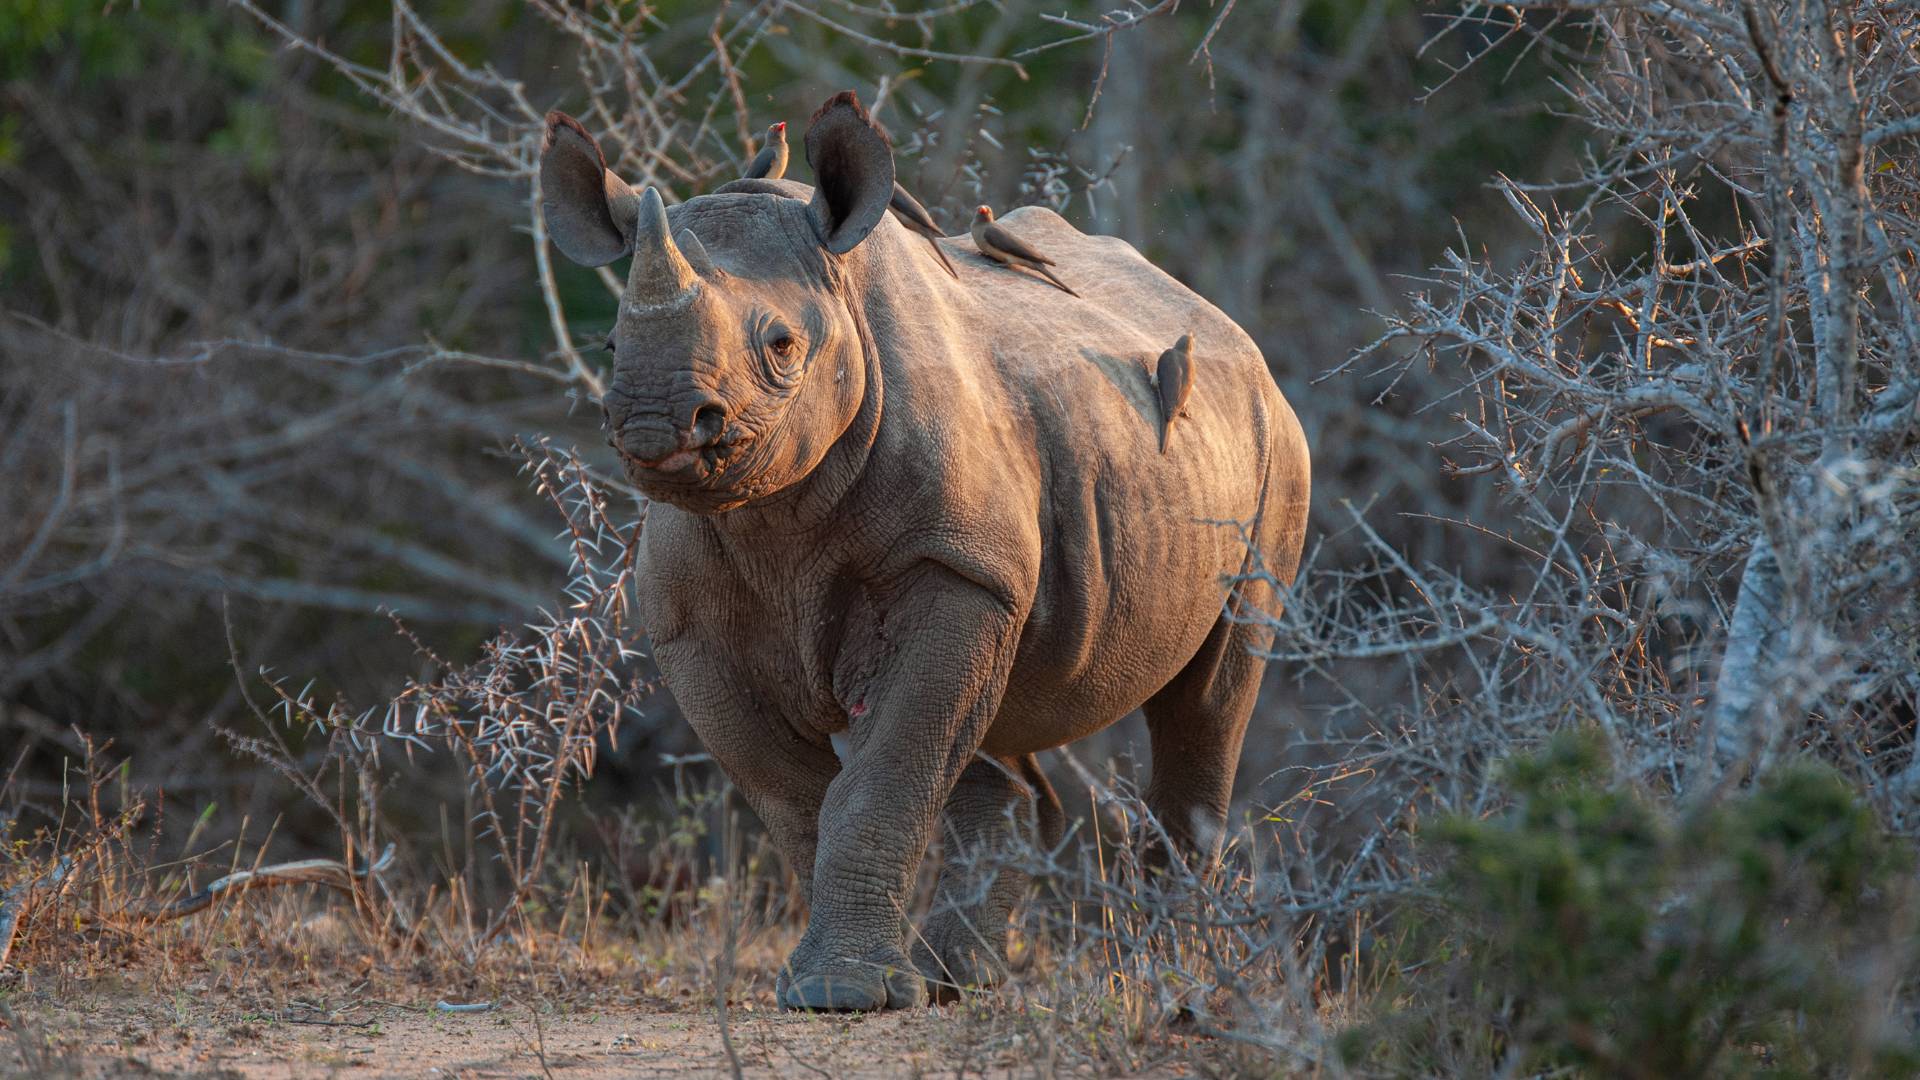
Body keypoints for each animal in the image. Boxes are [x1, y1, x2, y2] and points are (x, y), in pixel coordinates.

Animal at [539, 92, 1310, 1010]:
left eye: (782, 347)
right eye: (611, 348)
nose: (658, 421)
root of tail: (1230, 330)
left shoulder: (956, 569)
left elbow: (887, 774)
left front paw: (845, 995)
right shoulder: (685, 617)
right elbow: (796, 794)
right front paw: (835, 986)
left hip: (1277, 453)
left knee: (1209, 699)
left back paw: (1166, 982)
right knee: (995, 721)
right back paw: (960, 981)